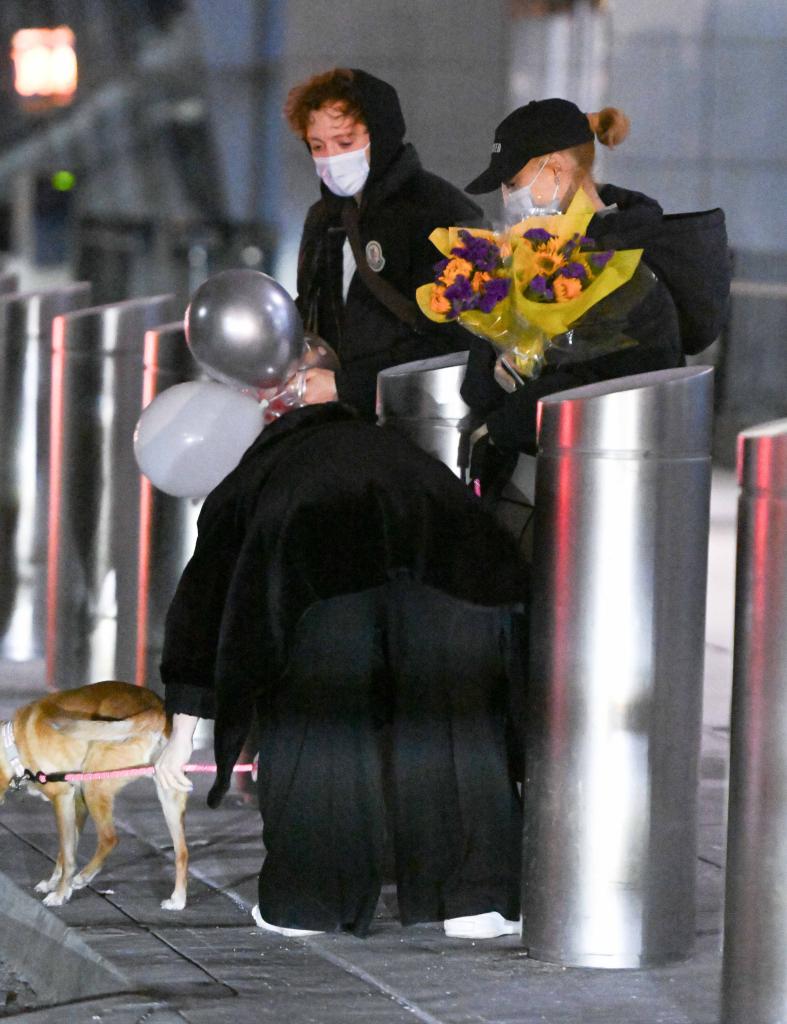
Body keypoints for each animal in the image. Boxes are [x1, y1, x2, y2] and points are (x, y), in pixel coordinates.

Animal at [0, 679, 187, 913]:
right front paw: (55, 884)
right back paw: (178, 900)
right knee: (182, 852)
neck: (12, 746)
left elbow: (68, 856)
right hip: (169, 795)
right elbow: (65, 852)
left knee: (110, 838)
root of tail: (155, 709)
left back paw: (84, 877)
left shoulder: (63, 798)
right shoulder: (77, 803)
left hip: (94, 785)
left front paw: (60, 894)